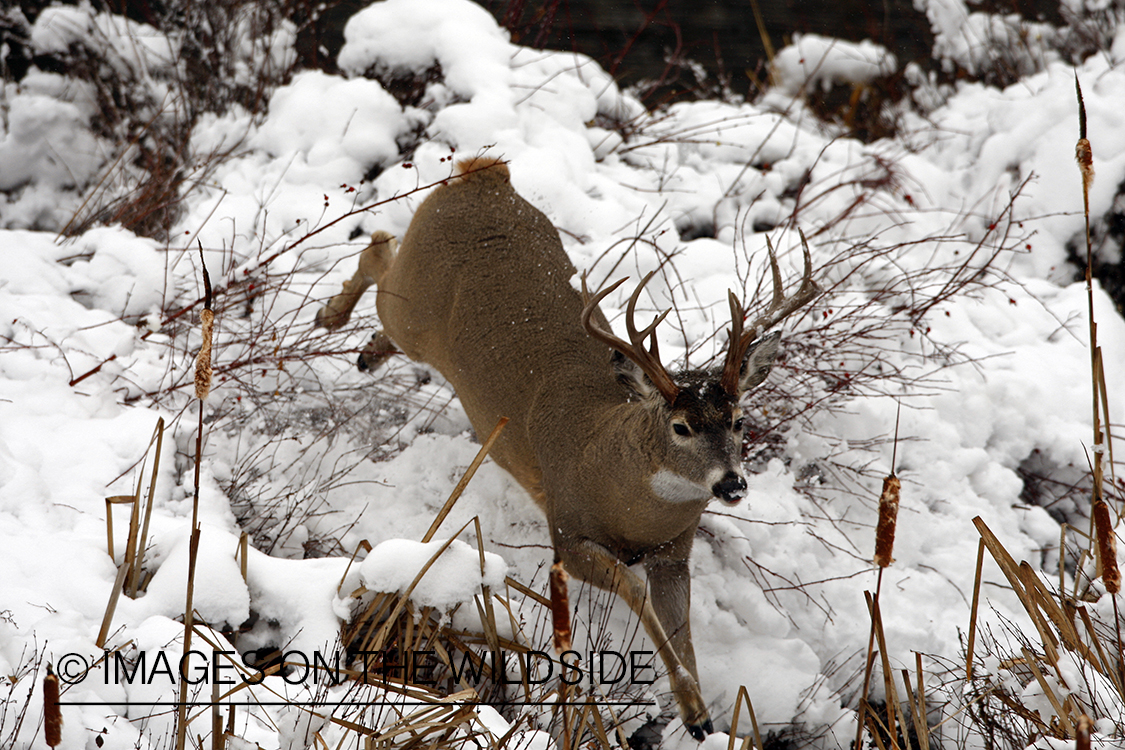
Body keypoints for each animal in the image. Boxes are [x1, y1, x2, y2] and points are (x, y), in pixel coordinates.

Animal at [319, 158, 819, 737]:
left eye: (739, 420)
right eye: (680, 427)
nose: (732, 483)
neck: (621, 492)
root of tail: (481, 175)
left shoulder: (675, 550)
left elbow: (684, 629)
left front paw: (700, 717)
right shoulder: (566, 530)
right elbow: (635, 592)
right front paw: (694, 710)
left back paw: (366, 353)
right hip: (414, 310)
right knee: (378, 249)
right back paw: (331, 316)